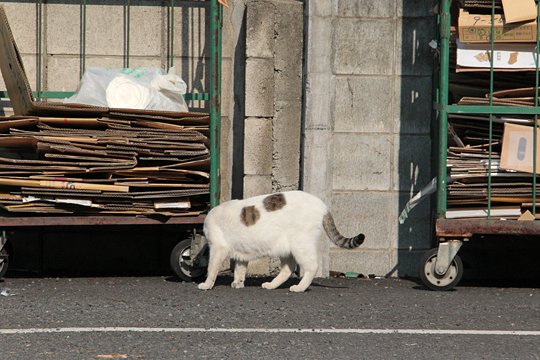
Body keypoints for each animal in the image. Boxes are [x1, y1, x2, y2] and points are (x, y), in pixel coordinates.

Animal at [196, 191, 364, 292]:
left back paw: (299, 287)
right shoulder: (241, 253)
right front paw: (238, 283)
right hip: (286, 249)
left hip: (301, 245)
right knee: (287, 269)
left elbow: (211, 268)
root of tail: (323, 206)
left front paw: (206, 284)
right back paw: (271, 285)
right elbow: (240, 269)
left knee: (311, 267)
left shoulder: (217, 247)